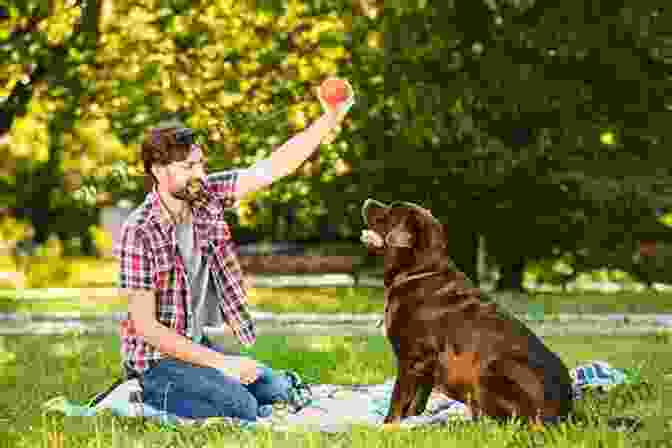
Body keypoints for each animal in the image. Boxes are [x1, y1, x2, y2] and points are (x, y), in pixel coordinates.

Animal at [360, 200, 576, 428]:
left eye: (390, 212)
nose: (368, 201)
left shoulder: (412, 359)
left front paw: (387, 426)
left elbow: (398, 400)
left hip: (490, 370)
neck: (417, 271)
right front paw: (412, 422)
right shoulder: (425, 368)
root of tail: (561, 415)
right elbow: (416, 403)